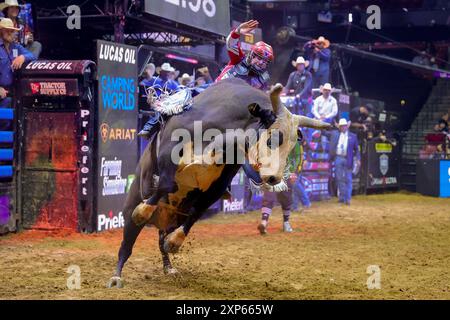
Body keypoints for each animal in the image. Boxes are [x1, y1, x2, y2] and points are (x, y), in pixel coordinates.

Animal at [107, 78, 328, 288]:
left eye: (292, 146)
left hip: (172, 218)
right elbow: (167, 183)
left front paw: (176, 242)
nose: (275, 178)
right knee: (126, 245)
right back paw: (116, 277)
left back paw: (169, 267)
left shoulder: (219, 184)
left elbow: (197, 212)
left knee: (161, 240)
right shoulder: (169, 150)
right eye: (273, 138)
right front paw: (143, 210)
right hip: (130, 207)